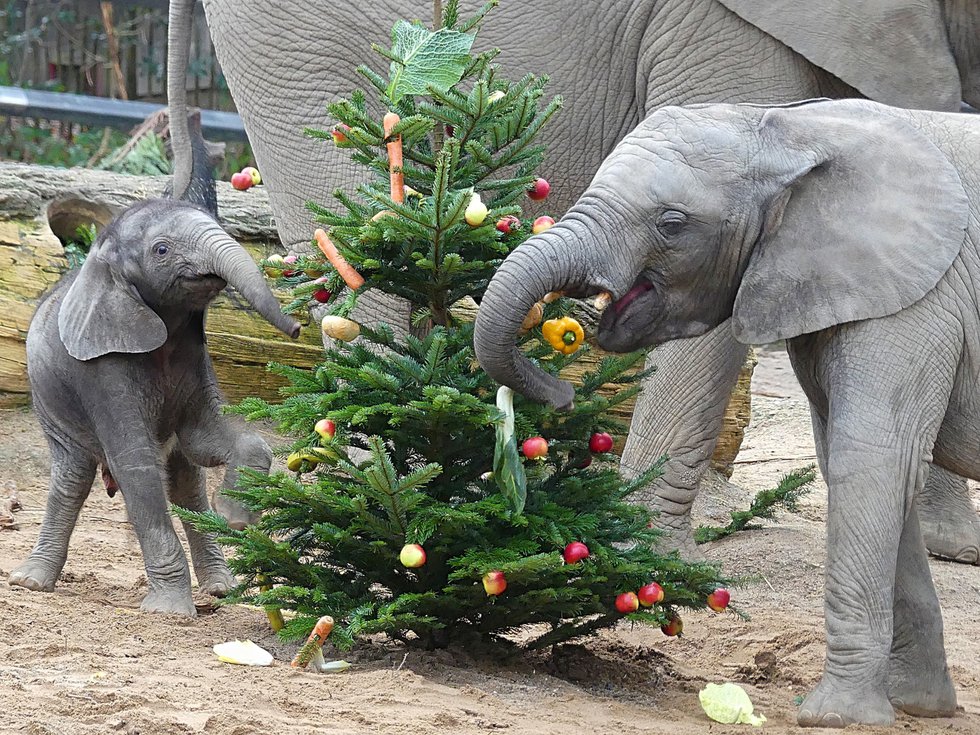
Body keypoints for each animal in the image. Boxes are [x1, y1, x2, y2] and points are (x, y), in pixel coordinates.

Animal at [8, 197, 298, 616]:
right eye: (161, 250)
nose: (296, 329)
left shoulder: (194, 353)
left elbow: (204, 440)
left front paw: (233, 517)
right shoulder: (103, 368)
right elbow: (137, 466)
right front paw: (169, 612)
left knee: (186, 484)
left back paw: (220, 588)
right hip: (49, 405)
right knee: (72, 479)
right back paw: (30, 582)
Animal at [474, 99, 980, 732]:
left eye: (672, 222)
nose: (562, 396)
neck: (789, 131)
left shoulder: (922, 295)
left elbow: (873, 462)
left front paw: (835, 717)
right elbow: (871, 466)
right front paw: (915, 706)